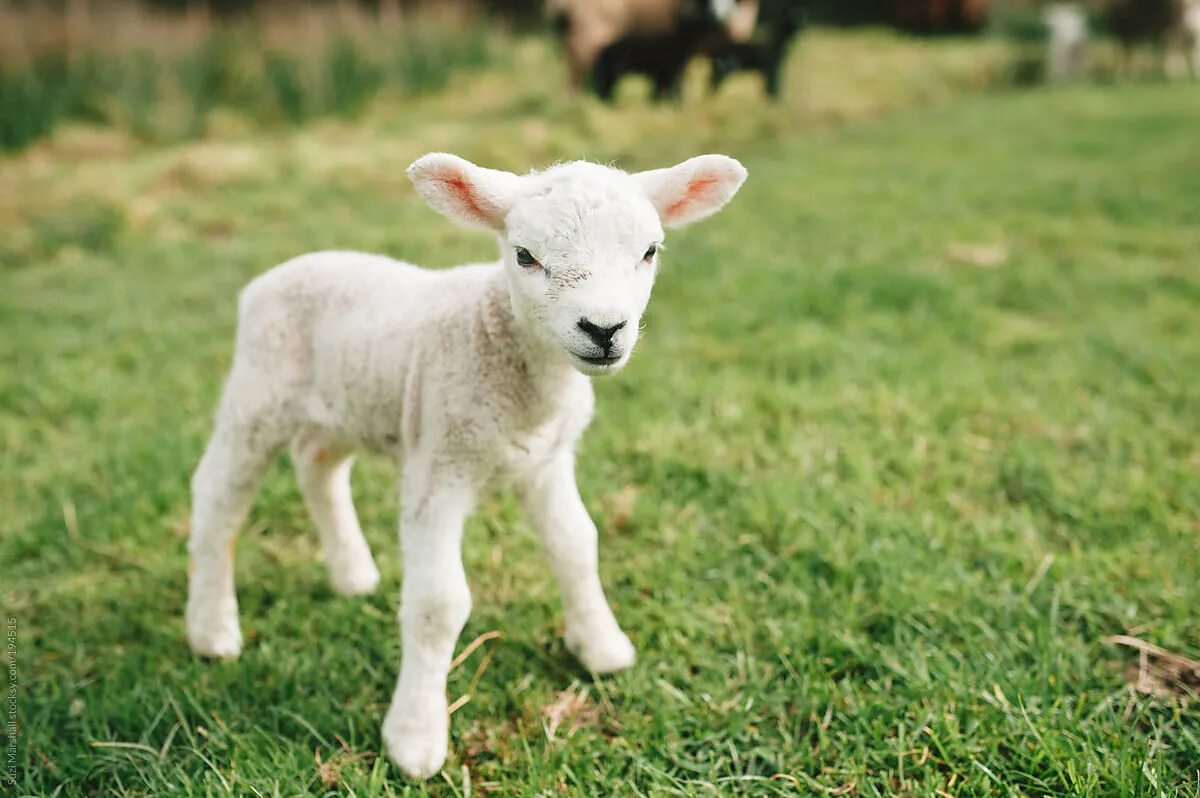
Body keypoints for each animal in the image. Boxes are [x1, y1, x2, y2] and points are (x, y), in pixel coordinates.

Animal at [184, 151, 748, 777]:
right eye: (525, 255)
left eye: (649, 251)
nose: (603, 330)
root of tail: (276, 274)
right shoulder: (439, 467)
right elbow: (438, 604)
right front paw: (415, 738)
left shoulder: (546, 462)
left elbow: (578, 546)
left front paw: (601, 648)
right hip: (258, 397)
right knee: (218, 499)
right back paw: (212, 630)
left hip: (346, 405)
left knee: (317, 463)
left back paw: (353, 574)